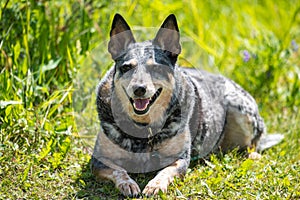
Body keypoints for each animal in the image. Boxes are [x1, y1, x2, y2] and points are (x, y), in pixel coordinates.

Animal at [91, 13, 284, 197]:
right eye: (126, 67)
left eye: (156, 69)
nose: (139, 89)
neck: (143, 127)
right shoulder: (99, 160)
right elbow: (119, 171)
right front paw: (128, 184)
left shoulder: (180, 159)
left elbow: (164, 172)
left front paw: (155, 185)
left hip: (240, 109)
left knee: (253, 143)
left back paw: (253, 155)